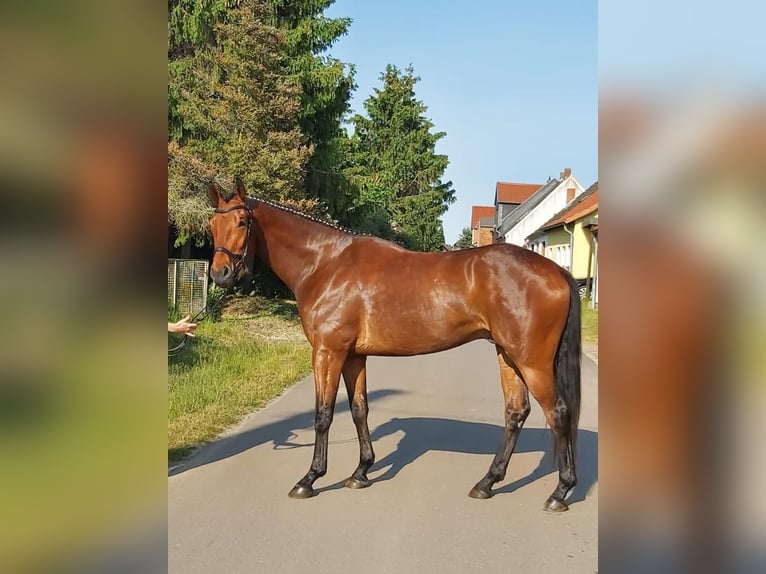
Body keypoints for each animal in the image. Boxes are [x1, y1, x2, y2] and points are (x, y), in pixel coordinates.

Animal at [208, 180, 584, 512]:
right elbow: (359, 409)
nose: (220, 275)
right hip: (508, 356)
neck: (326, 265)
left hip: (532, 362)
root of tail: (556, 271)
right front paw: (361, 472)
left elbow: (323, 414)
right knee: (516, 412)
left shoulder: (328, 352)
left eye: (242, 222)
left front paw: (310, 479)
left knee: (559, 413)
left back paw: (559, 492)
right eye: (212, 223)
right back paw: (487, 483)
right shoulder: (354, 356)